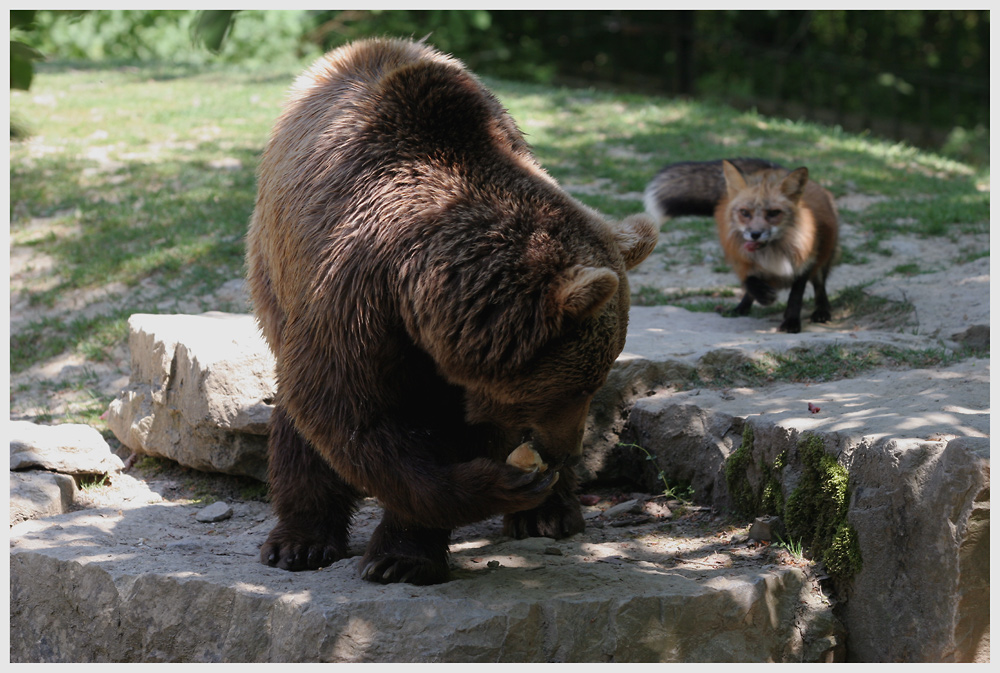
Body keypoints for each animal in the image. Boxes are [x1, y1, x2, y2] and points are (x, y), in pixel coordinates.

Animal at [246, 38, 660, 584]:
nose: (566, 450)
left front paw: (404, 553)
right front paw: (490, 489)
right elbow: (351, 414)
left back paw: (550, 515)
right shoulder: (353, 299)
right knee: (297, 423)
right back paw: (299, 541)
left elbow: (456, 425)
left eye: (596, 383)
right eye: (575, 387)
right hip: (274, 277)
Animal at [644, 160, 840, 334]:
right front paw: (762, 295)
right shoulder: (739, 258)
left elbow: (795, 297)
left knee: (820, 286)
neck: (772, 254)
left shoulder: (805, 262)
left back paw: (822, 311)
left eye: (773, 213)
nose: (755, 234)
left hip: (825, 258)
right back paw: (740, 309)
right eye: (745, 212)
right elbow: (748, 281)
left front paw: (791, 322)